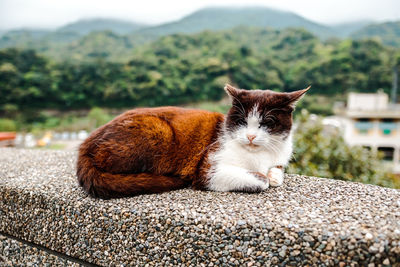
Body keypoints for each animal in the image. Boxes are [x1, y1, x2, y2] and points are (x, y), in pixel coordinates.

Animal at [78, 84, 310, 199]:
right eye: (242, 121)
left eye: (267, 122)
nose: (251, 136)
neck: (259, 155)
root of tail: (85, 145)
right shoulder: (208, 168)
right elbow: (261, 181)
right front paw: (264, 177)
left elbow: (276, 172)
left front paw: (274, 174)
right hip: (158, 129)